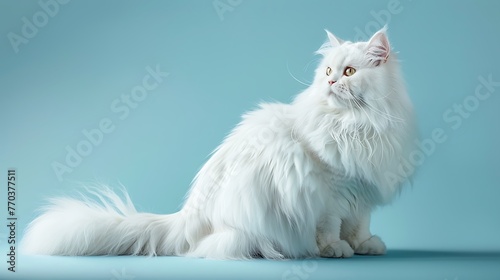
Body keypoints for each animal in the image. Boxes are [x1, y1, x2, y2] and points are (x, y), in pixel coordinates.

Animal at [21, 27, 416, 260]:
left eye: (348, 72)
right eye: (328, 72)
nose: (331, 84)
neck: (357, 126)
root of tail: (188, 215)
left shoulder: (361, 193)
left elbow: (360, 226)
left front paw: (365, 246)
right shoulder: (330, 194)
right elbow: (330, 229)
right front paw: (336, 249)